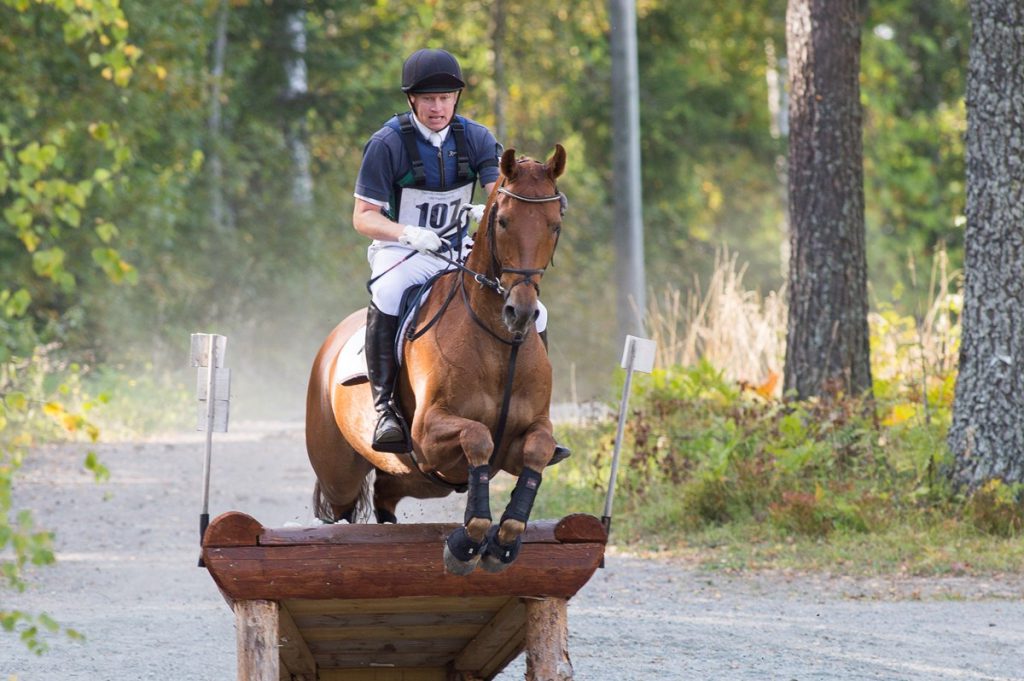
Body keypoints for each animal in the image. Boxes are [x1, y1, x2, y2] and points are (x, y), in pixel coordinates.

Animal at [305, 144, 568, 575]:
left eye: (555, 225)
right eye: (504, 222)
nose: (521, 312)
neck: (498, 345)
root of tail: (330, 344)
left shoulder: (527, 434)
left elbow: (538, 449)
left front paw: (504, 540)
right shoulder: (428, 434)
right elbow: (477, 437)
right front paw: (467, 542)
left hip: (413, 478)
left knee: (386, 495)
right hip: (339, 475)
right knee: (339, 510)